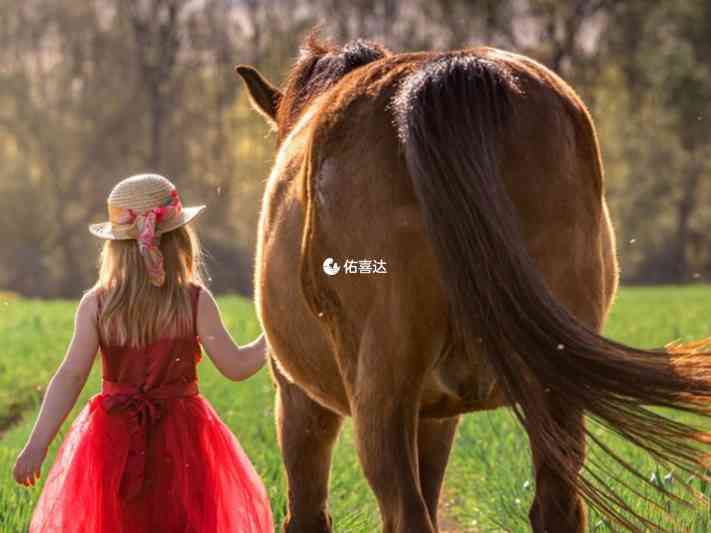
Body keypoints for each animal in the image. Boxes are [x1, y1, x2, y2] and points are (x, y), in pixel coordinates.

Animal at [236, 35, 711, 528]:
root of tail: (450, 73)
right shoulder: (437, 413)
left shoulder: (299, 400)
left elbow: (309, 511)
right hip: (554, 390)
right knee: (555, 506)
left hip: (381, 388)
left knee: (406, 511)